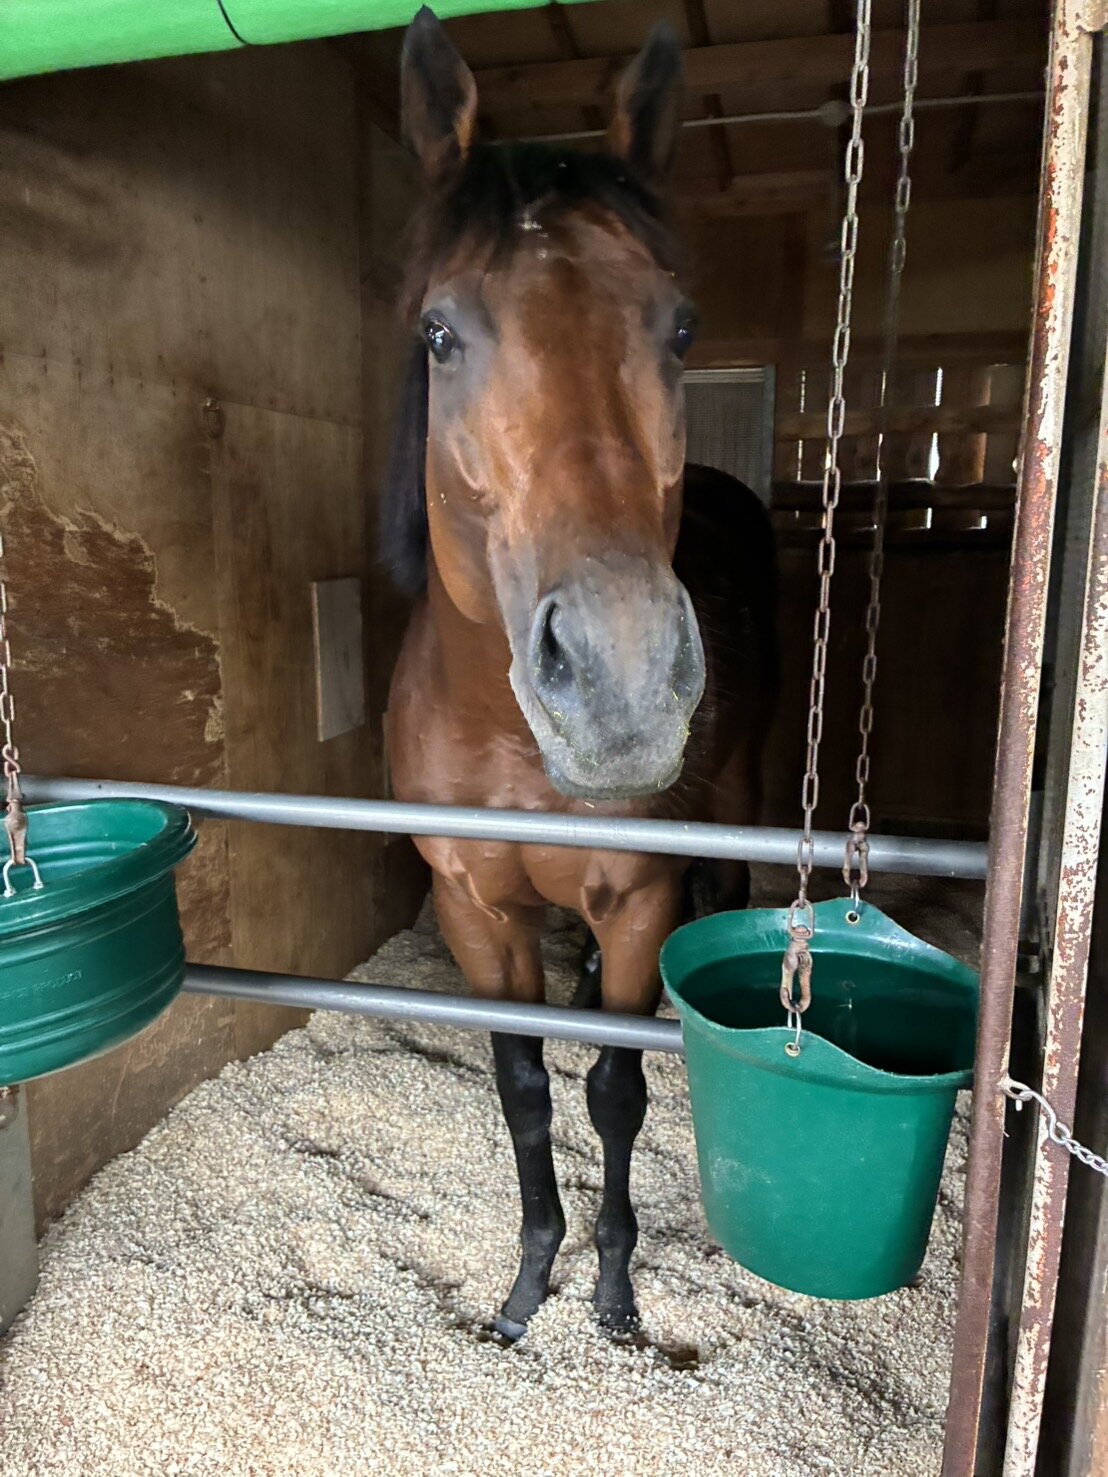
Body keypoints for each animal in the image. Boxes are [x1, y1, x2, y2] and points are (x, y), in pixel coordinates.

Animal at [383, 8, 778, 1341]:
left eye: (680, 327)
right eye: (440, 333)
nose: (620, 680)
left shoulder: (639, 902)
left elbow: (612, 1087)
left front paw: (611, 1286)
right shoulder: (472, 907)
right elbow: (521, 1084)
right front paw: (525, 1281)